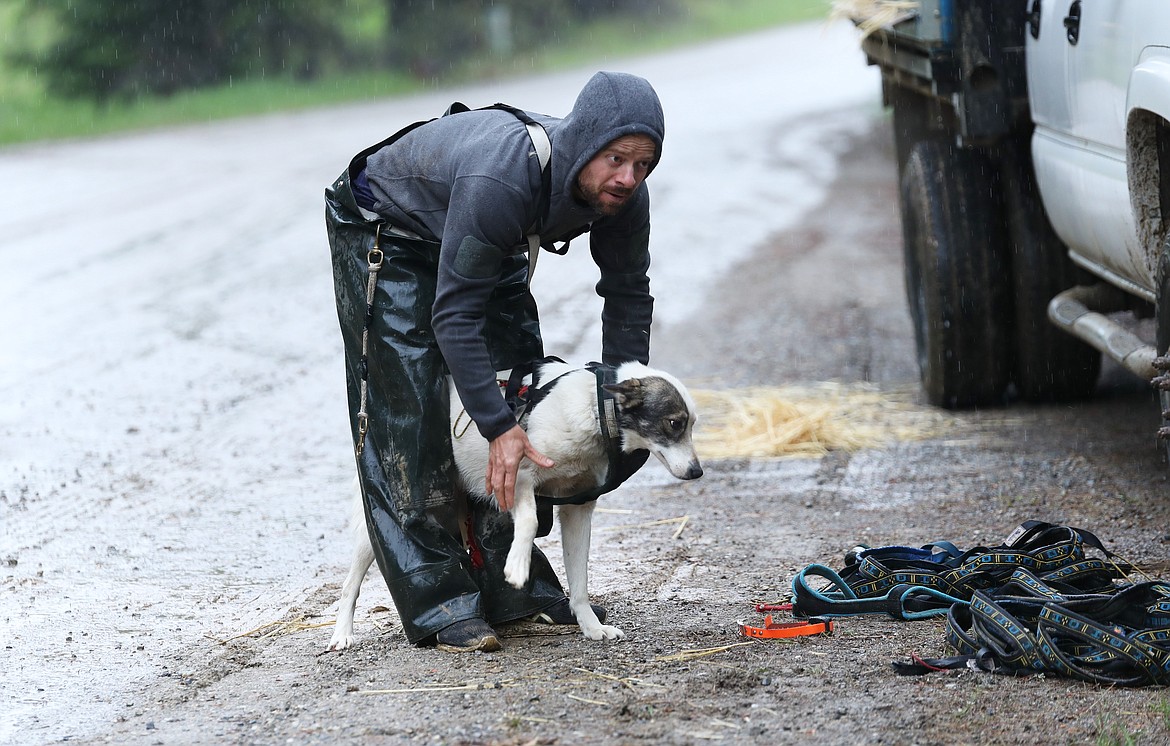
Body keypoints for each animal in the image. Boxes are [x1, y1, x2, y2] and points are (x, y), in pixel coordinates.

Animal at [325, 360, 697, 650]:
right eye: (673, 423)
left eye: (692, 425)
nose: (697, 472)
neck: (594, 406)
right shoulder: (518, 477)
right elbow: (529, 523)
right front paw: (517, 567)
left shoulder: (578, 507)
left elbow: (579, 580)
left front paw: (591, 626)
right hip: (372, 533)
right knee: (350, 584)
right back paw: (342, 634)